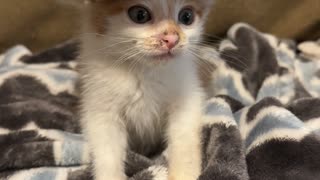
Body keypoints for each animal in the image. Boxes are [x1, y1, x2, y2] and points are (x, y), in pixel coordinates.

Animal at [72, 0, 215, 180]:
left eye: (187, 16)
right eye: (140, 15)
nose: (172, 39)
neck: (144, 71)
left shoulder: (188, 96)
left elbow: (184, 139)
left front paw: (184, 174)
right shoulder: (100, 107)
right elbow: (107, 150)